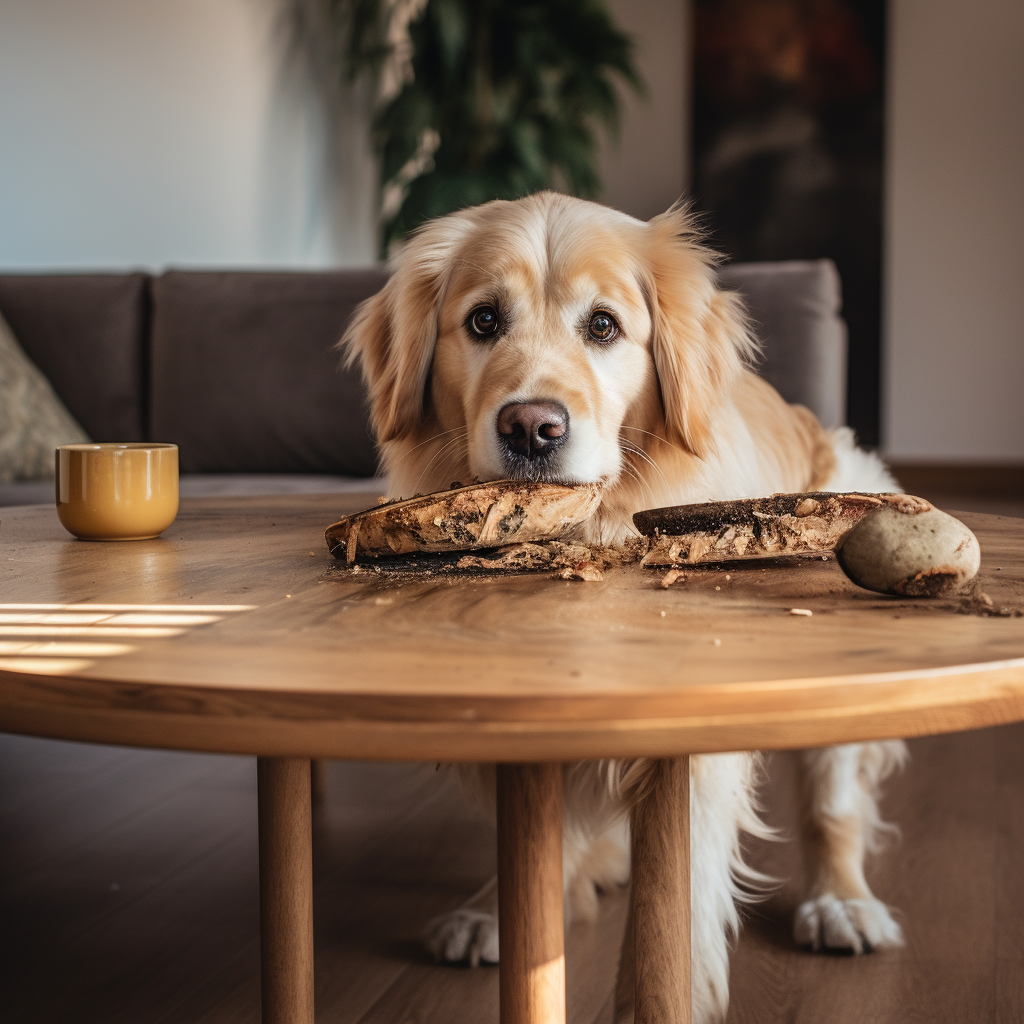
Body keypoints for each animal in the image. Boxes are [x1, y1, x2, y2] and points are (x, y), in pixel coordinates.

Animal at [344, 192, 905, 1024]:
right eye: (483, 320)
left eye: (604, 326)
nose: (532, 428)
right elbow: (539, 837)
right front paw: (509, 908)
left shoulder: (697, 759)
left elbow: (673, 910)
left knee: (832, 801)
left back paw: (842, 902)